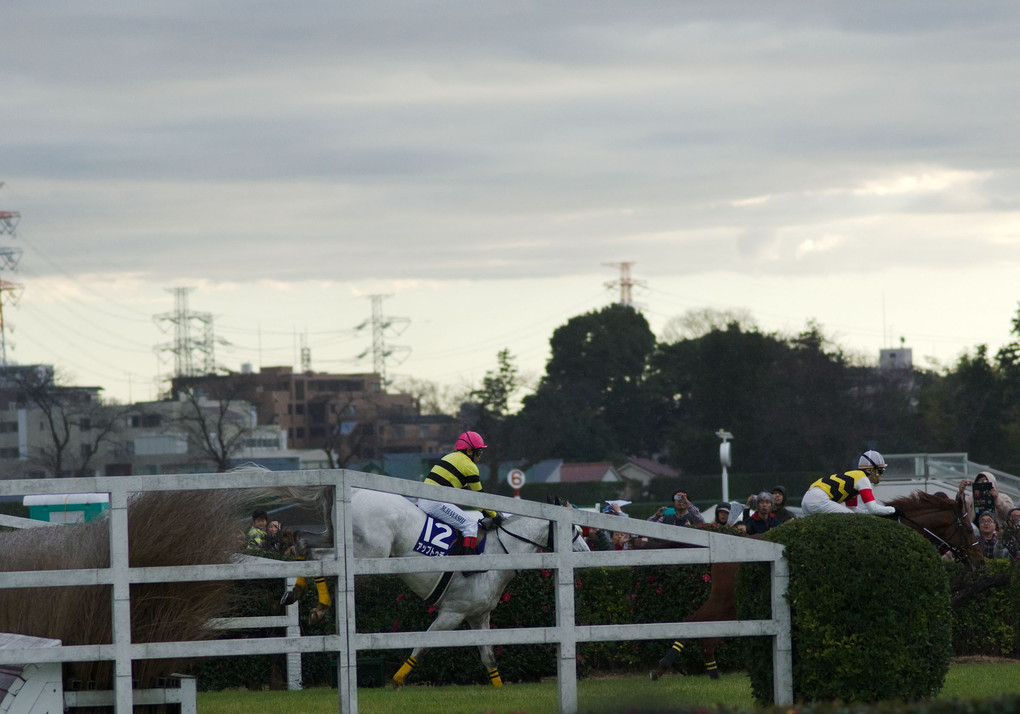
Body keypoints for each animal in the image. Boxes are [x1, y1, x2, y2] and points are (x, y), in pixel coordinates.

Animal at [263, 485, 591, 685]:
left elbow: (488, 657)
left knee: (304, 543)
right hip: (368, 551)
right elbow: (423, 645)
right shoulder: (452, 613)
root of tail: (354, 490)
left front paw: (499, 688)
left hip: (336, 535)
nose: (586, 551)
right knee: (318, 557)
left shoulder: (478, 616)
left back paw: (298, 593)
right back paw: (321, 605)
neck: (500, 551)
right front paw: (397, 680)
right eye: (574, 529)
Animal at [652, 491, 979, 681]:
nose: (979, 559)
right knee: (693, 622)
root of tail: (727, 544)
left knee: (709, 633)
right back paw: (663, 667)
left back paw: (712, 673)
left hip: (732, 603)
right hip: (725, 597)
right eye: (966, 526)